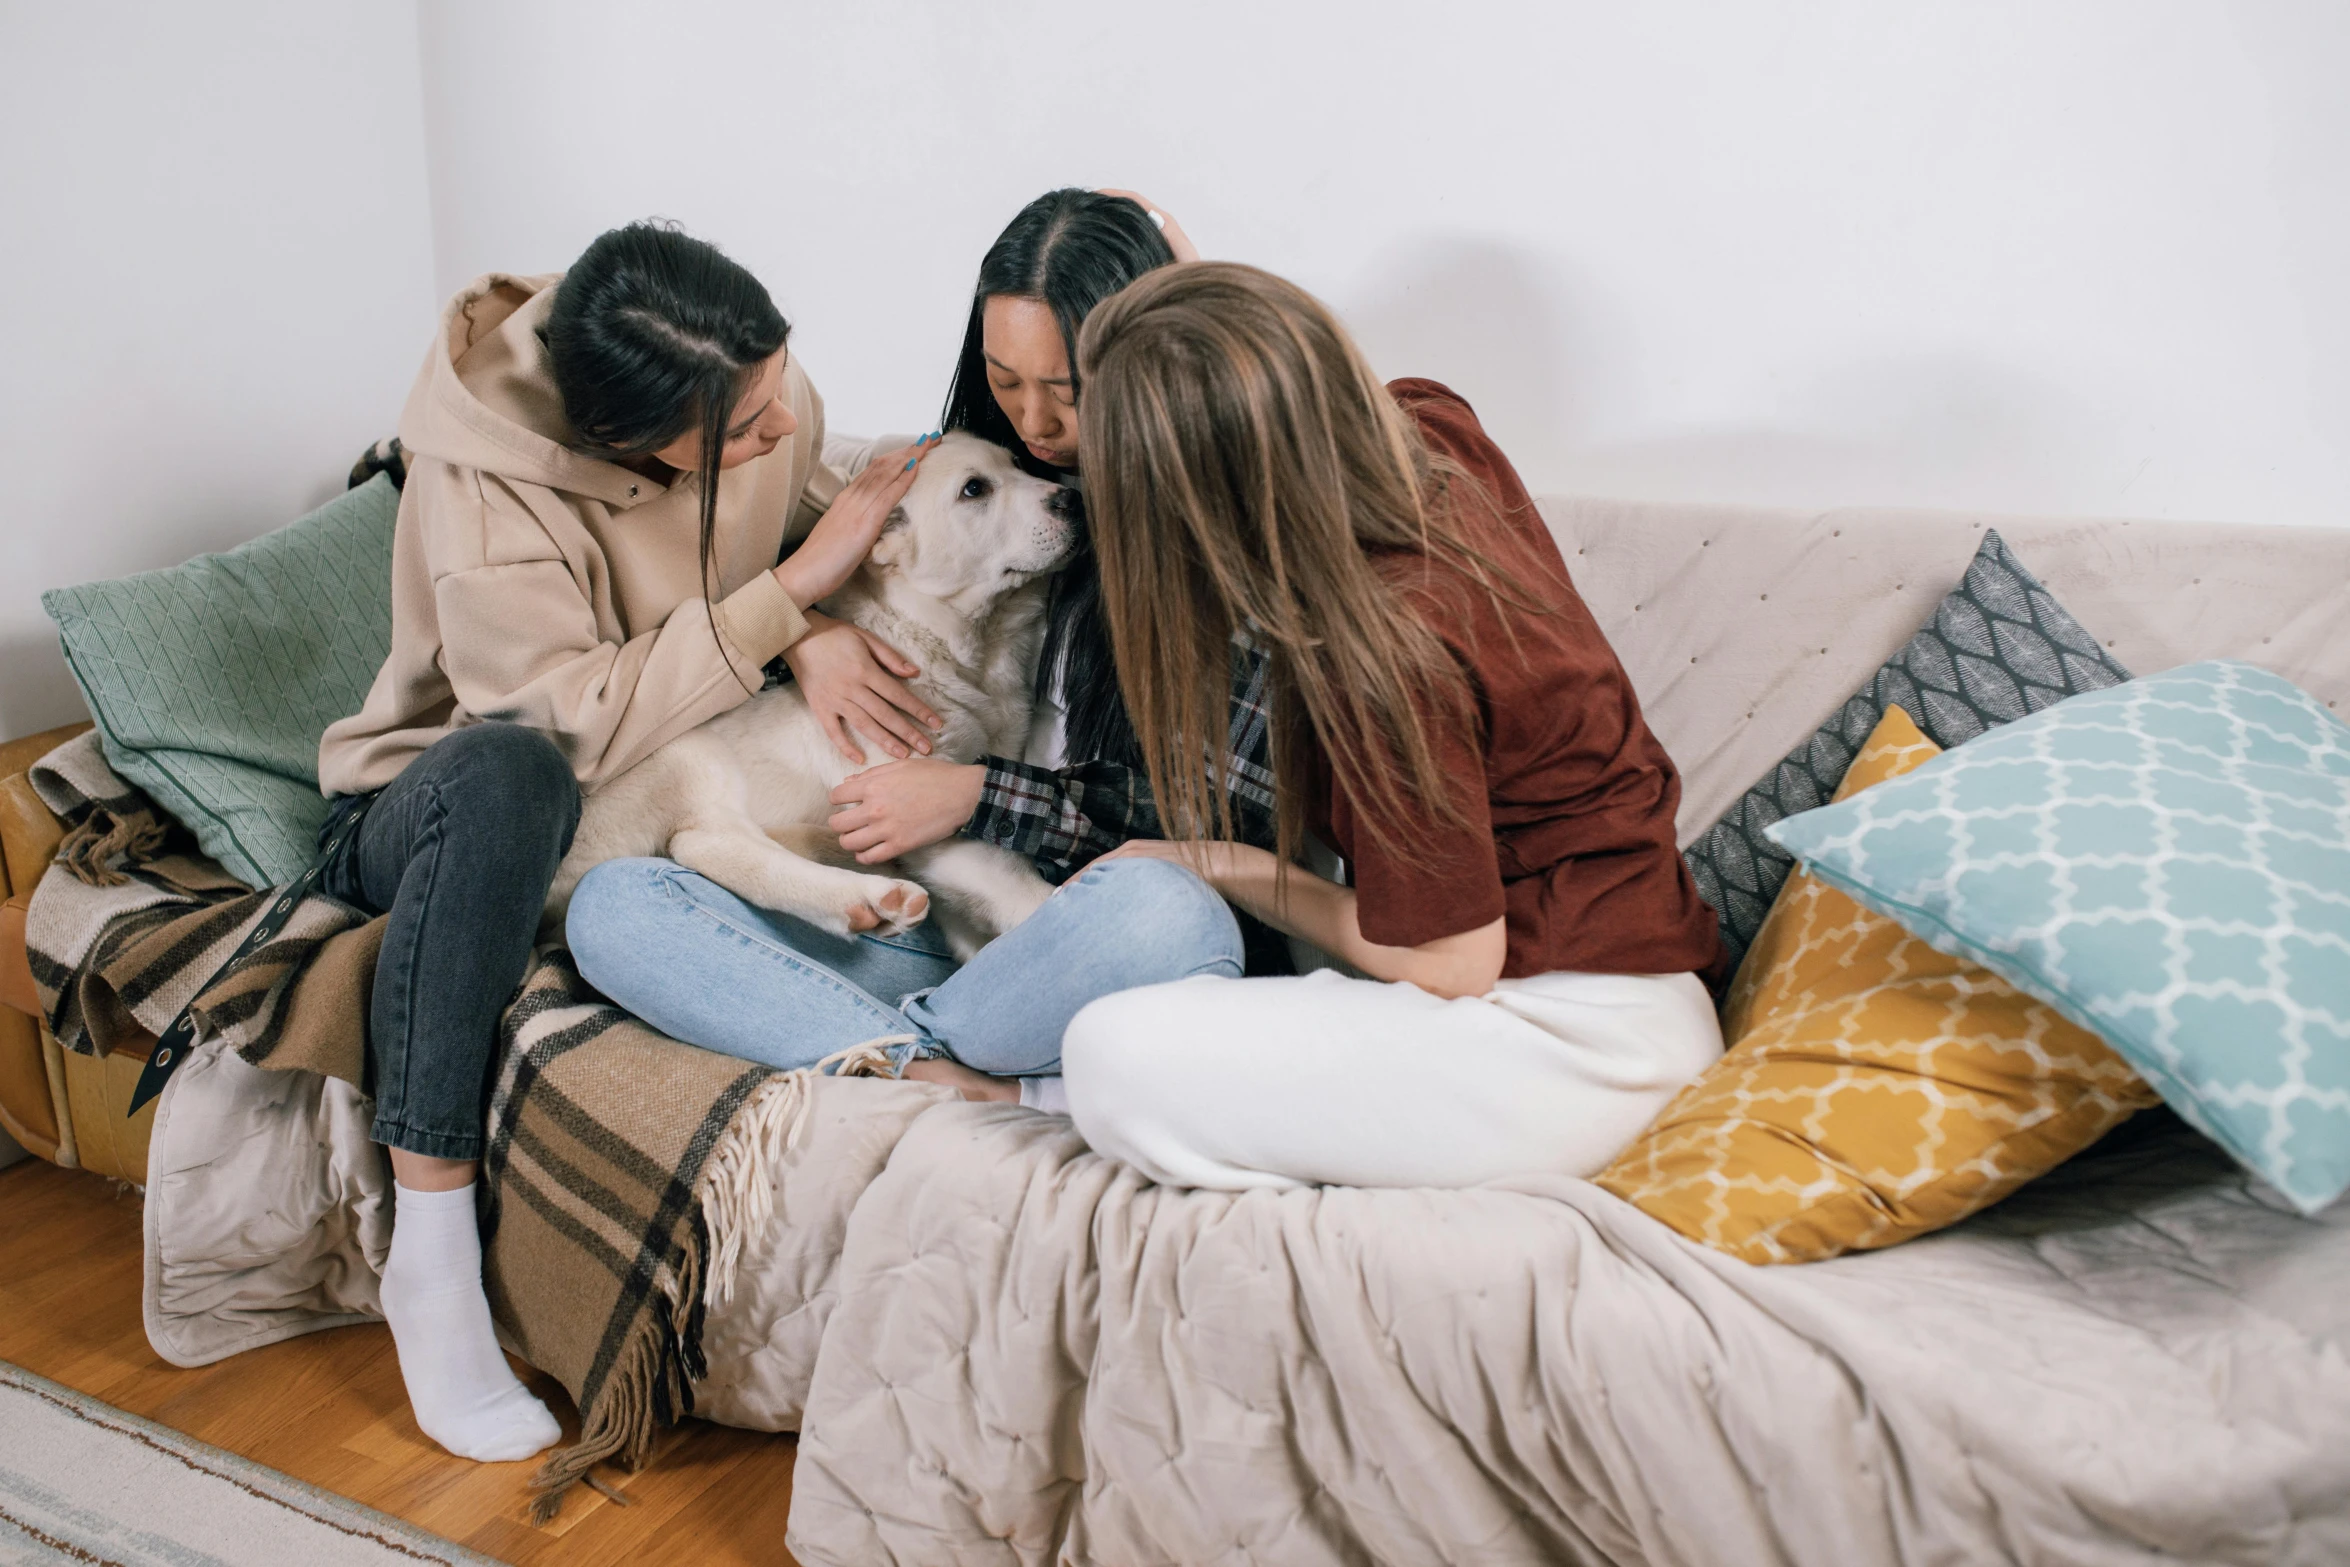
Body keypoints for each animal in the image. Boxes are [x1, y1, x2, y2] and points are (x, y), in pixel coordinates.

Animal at [545, 434, 1076, 963]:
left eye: (1017, 463)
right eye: (974, 489)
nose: (1071, 498)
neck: (965, 652)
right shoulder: (917, 811)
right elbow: (1015, 881)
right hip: (686, 753)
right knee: (704, 842)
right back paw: (866, 898)